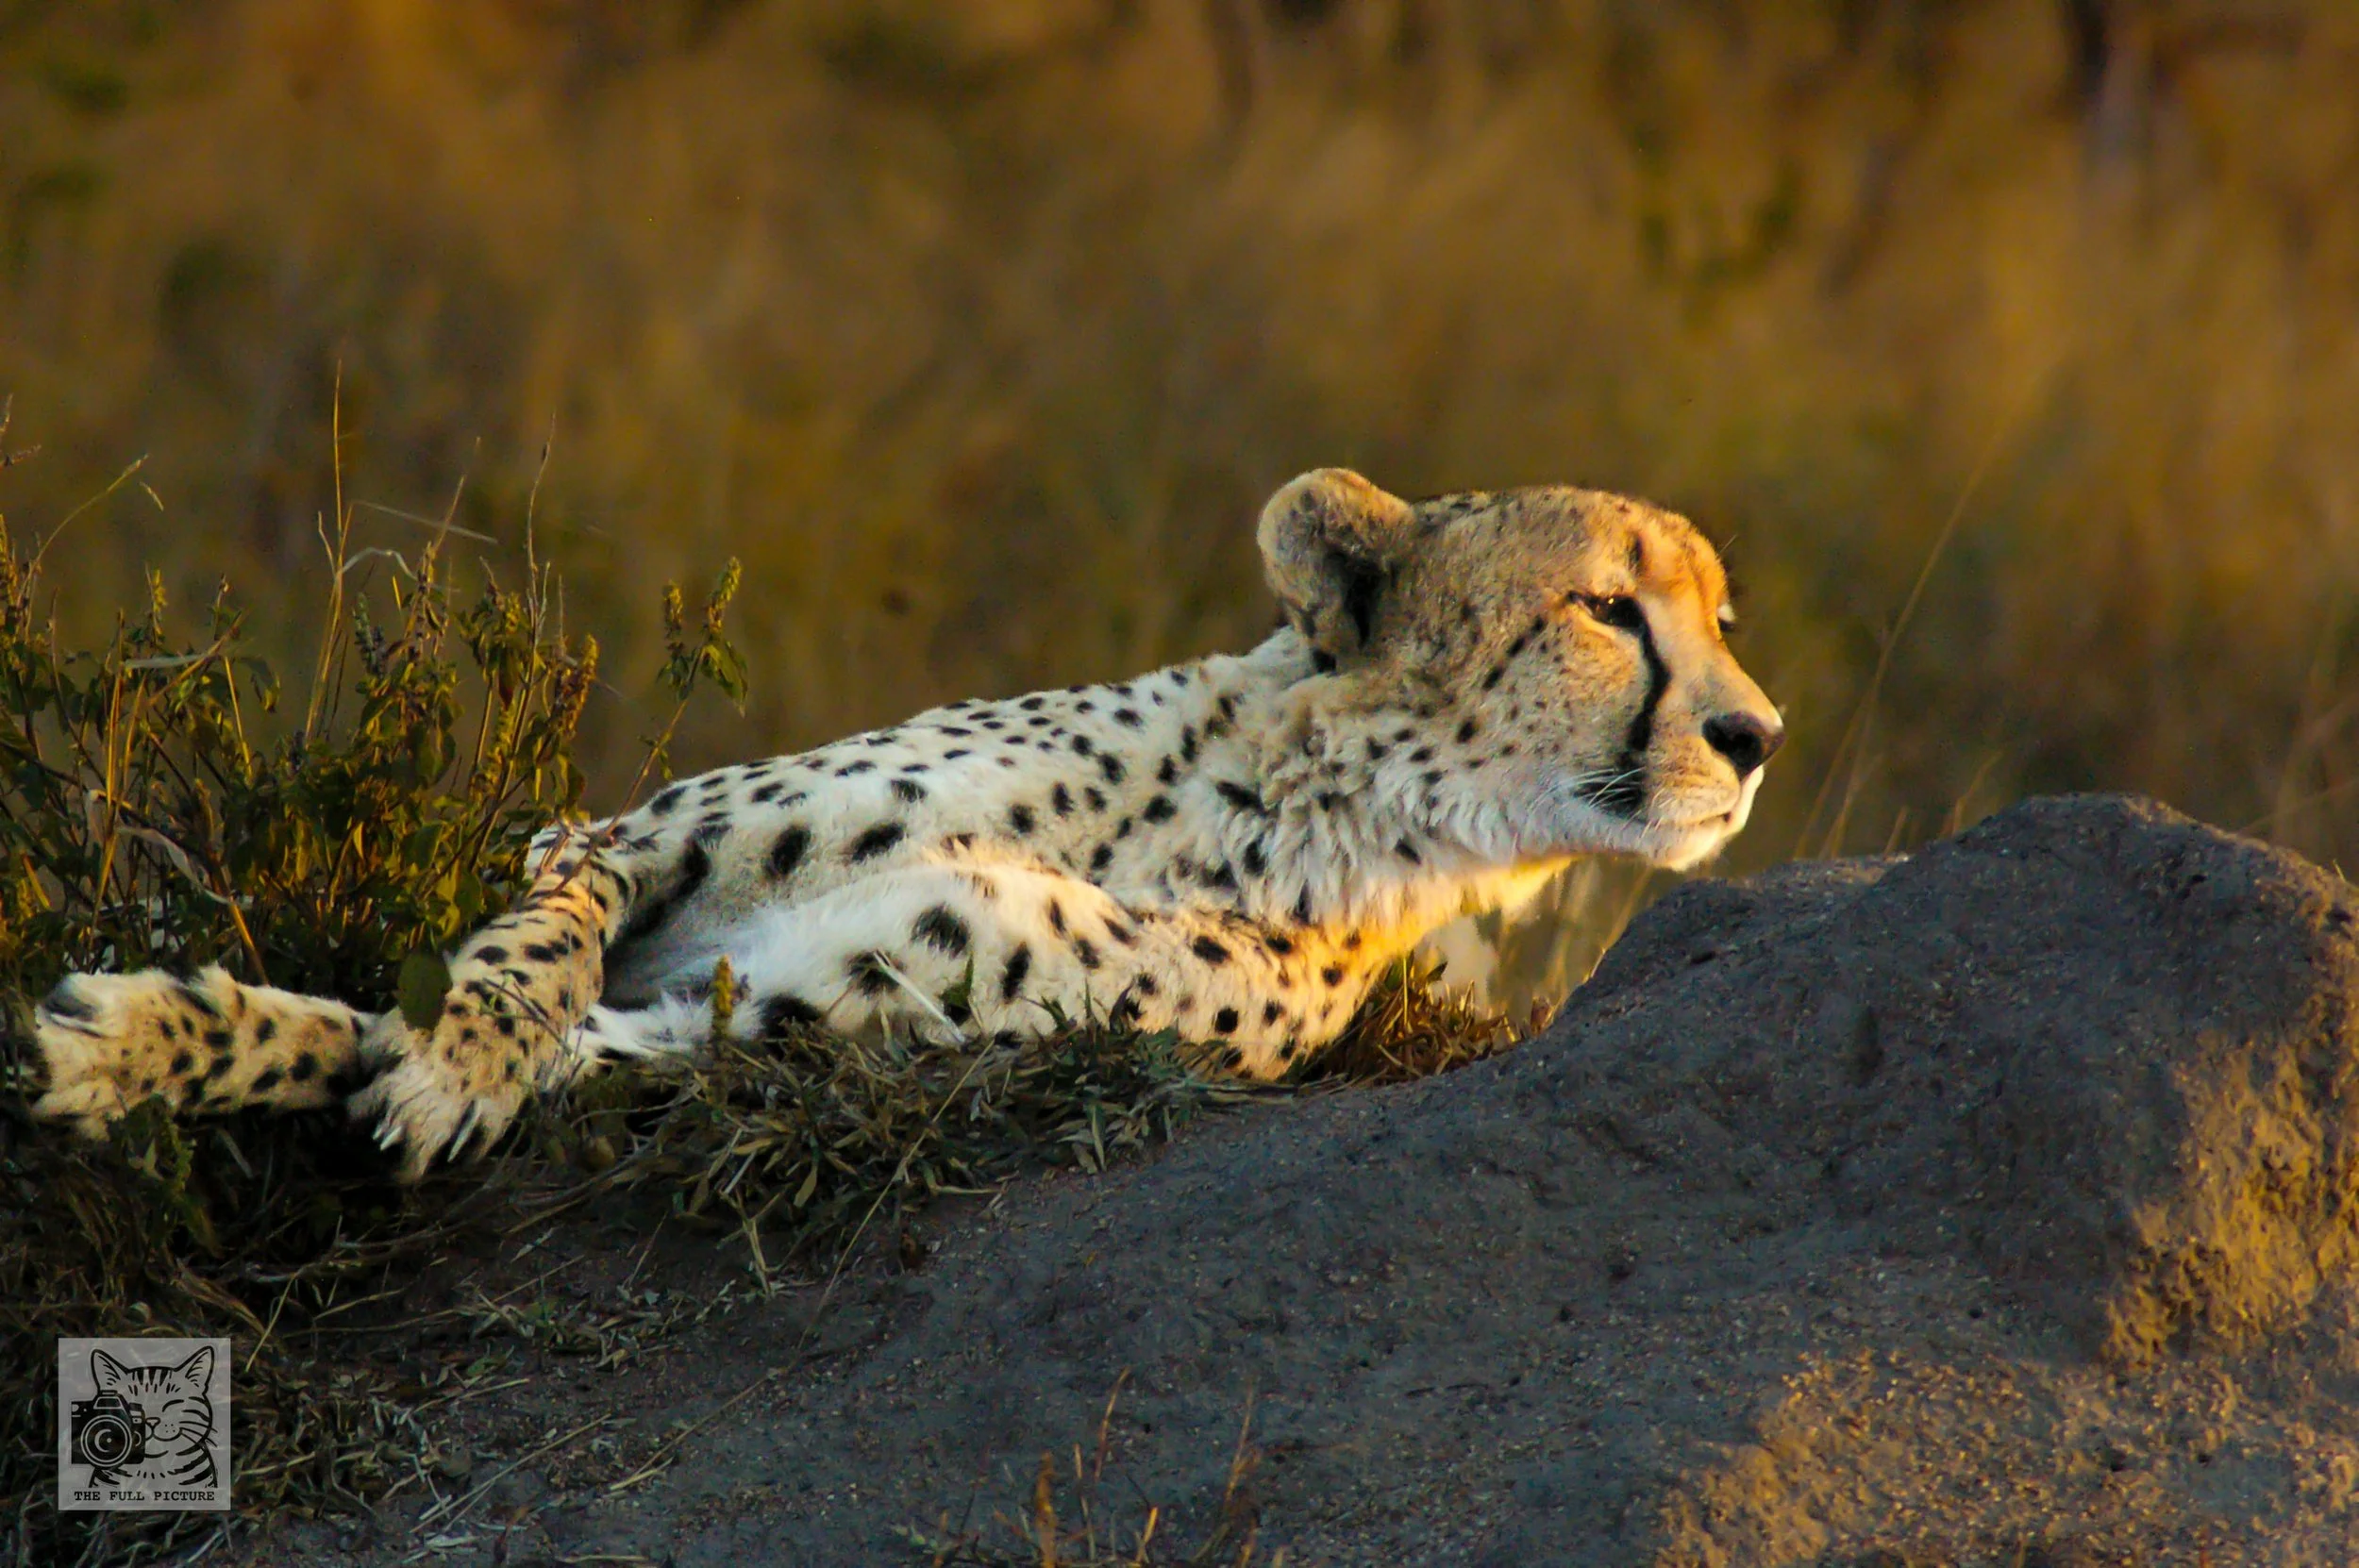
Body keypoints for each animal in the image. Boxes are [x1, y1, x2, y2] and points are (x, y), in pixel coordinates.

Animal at [32, 468, 1783, 1179]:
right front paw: (183, 1040)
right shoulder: (626, 833)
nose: (1756, 736)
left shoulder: (813, 1028)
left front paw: (179, 1047)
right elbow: (514, 961)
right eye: (1610, 608)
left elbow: (541, 1043)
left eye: (1722, 618)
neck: (1288, 803)